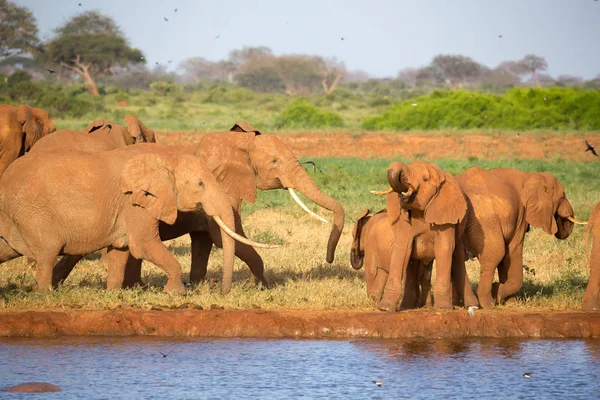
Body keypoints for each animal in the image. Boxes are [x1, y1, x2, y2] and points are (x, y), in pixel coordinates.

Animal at [0, 144, 268, 294]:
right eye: (200, 184)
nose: (223, 293)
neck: (167, 159)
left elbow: (122, 248)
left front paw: (112, 294)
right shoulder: (135, 201)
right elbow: (143, 244)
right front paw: (176, 293)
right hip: (33, 213)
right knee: (47, 252)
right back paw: (45, 294)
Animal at [54, 122, 344, 294]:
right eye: (274, 161)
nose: (329, 258)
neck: (239, 144)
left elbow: (204, 240)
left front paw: (201, 286)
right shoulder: (221, 187)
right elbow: (226, 235)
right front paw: (261, 287)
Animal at [376, 161, 478, 310]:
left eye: (425, 179)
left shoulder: (446, 218)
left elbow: (444, 249)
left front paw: (443, 309)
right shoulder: (404, 220)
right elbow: (402, 249)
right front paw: (385, 308)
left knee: (457, 258)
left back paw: (472, 306)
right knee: (413, 265)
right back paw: (409, 306)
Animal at [458, 167, 584, 308]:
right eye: (562, 195)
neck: (532, 175)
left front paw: (509, 302)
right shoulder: (520, 217)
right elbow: (512, 251)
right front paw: (499, 293)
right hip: (485, 222)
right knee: (494, 256)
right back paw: (488, 303)